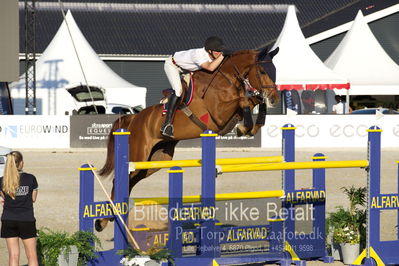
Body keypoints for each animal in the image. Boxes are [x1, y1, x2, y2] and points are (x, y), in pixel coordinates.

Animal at [95, 47, 280, 231]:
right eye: (262, 71)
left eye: (275, 70)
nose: (274, 97)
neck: (225, 80)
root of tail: (133, 118)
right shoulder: (219, 114)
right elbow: (244, 101)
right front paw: (245, 127)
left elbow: (253, 101)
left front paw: (249, 127)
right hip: (138, 155)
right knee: (119, 179)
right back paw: (103, 221)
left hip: (155, 161)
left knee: (130, 181)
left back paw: (113, 216)